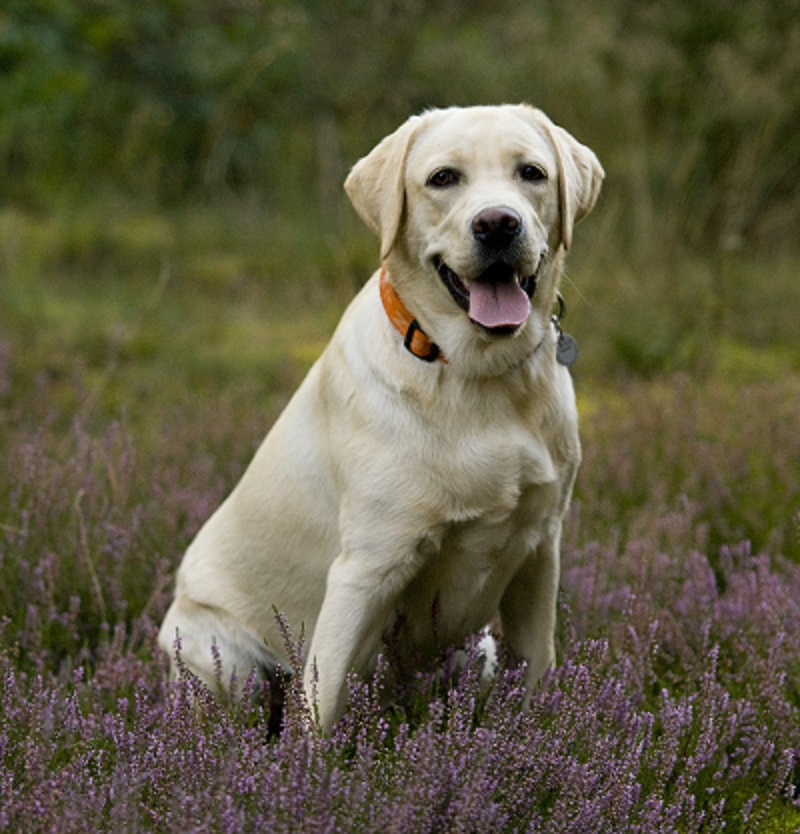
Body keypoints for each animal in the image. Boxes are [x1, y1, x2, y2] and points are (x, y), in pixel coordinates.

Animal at [159, 105, 604, 728]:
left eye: (532, 173)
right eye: (443, 178)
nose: (497, 223)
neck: (477, 372)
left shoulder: (540, 552)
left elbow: (538, 671)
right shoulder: (367, 567)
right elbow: (319, 712)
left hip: (479, 652)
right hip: (225, 662)